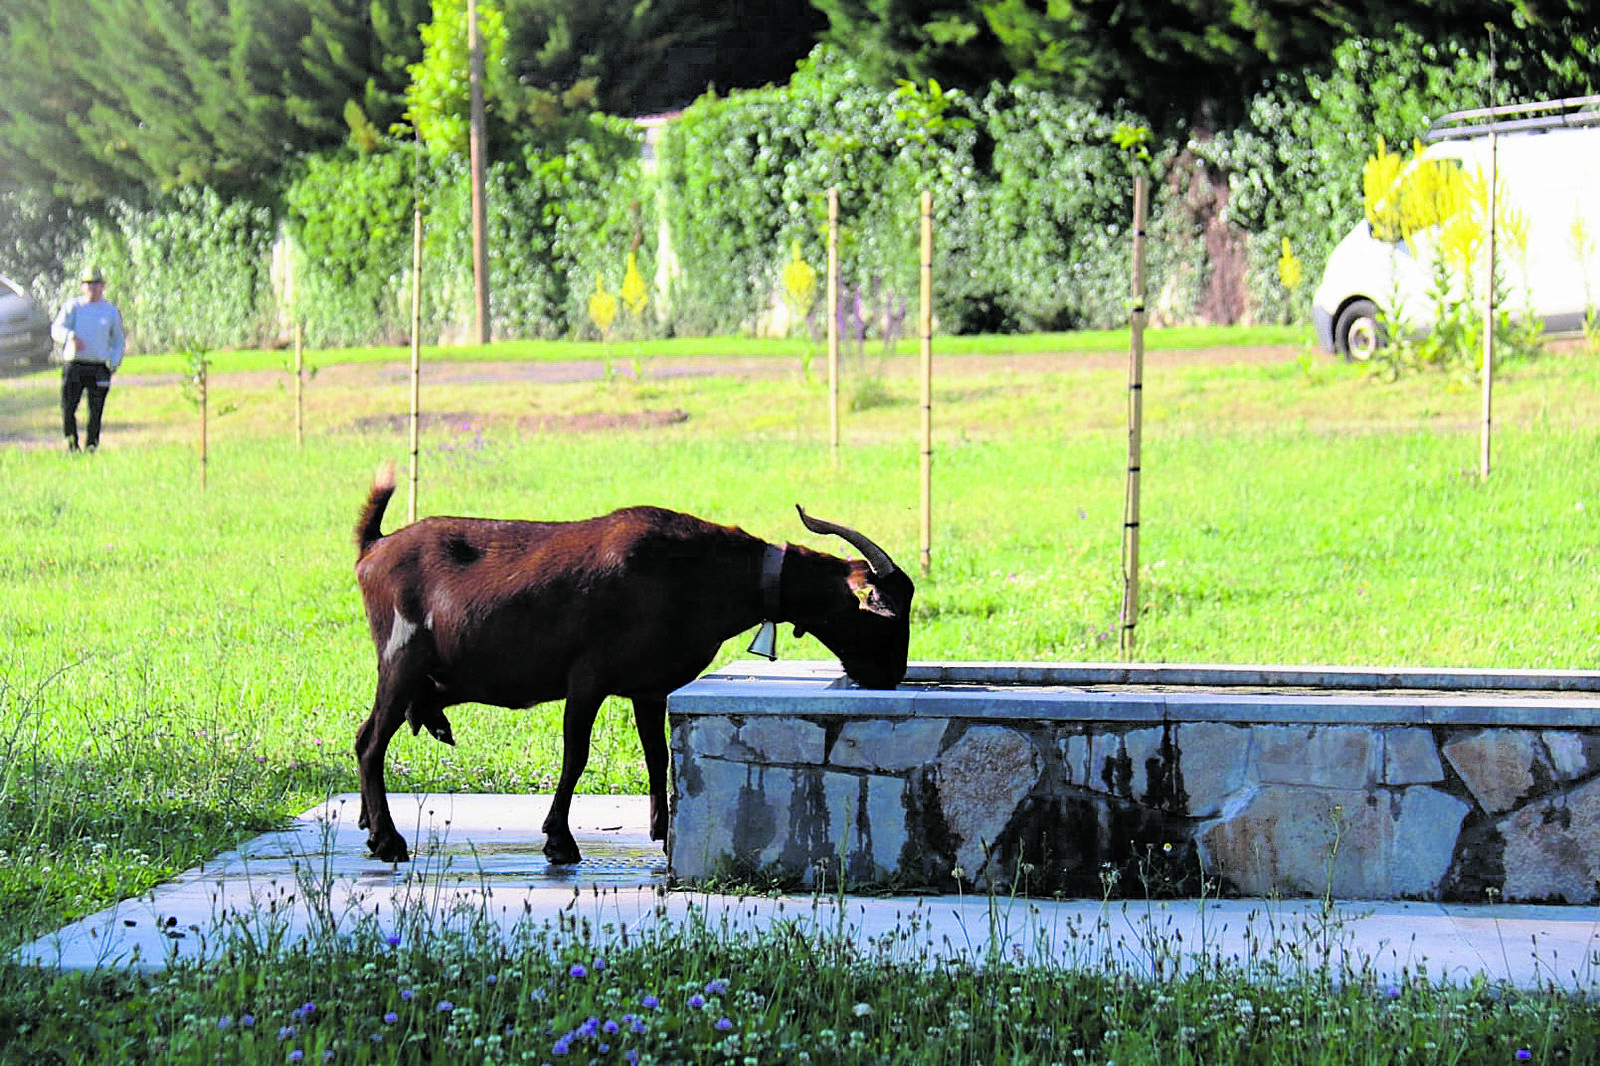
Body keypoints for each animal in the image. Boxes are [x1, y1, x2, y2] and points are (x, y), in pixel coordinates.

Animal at [356, 460, 921, 857]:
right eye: (885, 612)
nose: (891, 675)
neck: (698, 572)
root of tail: (374, 548)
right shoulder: (587, 678)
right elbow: (577, 756)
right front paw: (559, 842)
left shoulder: (650, 687)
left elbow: (658, 756)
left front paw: (664, 833)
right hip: (401, 659)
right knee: (370, 743)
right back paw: (389, 841)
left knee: (367, 732)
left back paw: (370, 824)